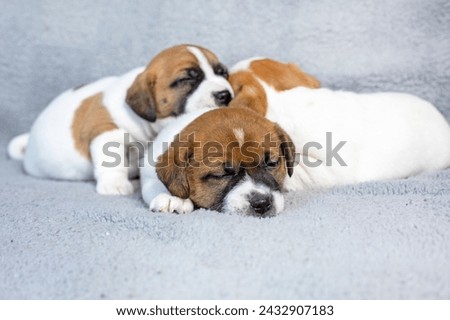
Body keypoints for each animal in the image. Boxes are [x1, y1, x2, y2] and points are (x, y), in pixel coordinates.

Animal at [7, 44, 234, 195]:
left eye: (223, 73)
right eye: (187, 79)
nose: (225, 95)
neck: (149, 126)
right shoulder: (107, 131)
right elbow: (111, 161)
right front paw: (115, 184)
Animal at [141, 106, 296, 216]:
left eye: (271, 163)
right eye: (221, 175)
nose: (262, 203)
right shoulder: (147, 173)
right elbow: (156, 183)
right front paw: (175, 198)